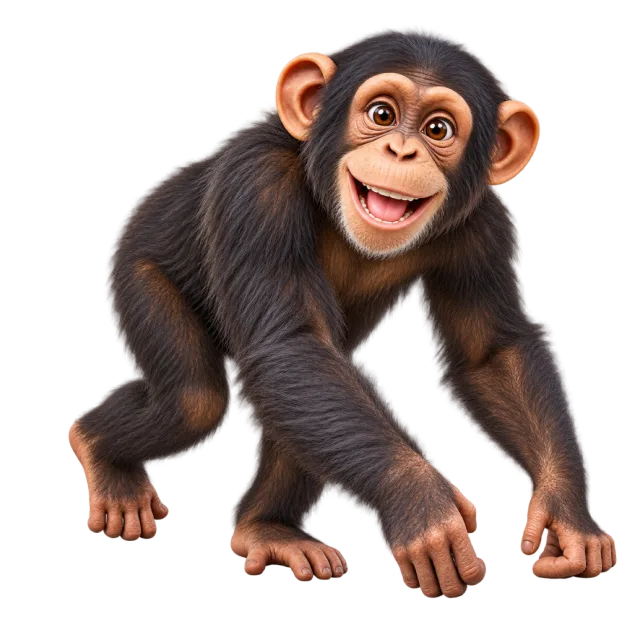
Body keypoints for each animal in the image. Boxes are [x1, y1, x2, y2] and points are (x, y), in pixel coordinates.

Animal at [68, 26, 617, 597]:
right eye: (381, 114)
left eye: (438, 129)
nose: (402, 150)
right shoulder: (257, 185)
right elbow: (290, 343)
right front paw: (421, 502)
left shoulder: (482, 226)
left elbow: (492, 352)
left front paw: (567, 514)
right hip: (137, 271)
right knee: (192, 397)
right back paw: (101, 456)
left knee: (315, 389)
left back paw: (268, 529)